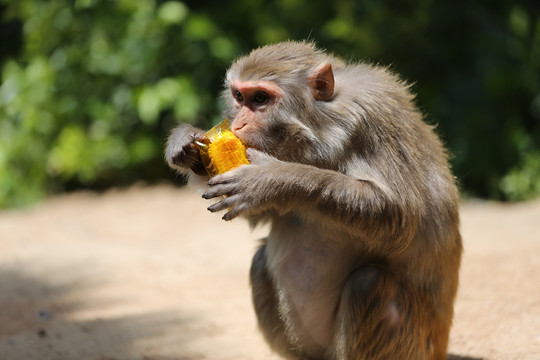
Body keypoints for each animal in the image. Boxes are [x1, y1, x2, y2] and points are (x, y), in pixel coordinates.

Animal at [165, 40, 460, 358]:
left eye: (260, 98)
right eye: (239, 97)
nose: (238, 125)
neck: (320, 130)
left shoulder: (374, 116)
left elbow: (400, 219)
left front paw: (271, 180)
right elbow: (258, 213)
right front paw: (186, 144)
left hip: (414, 345)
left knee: (367, 283)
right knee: (259, 261)